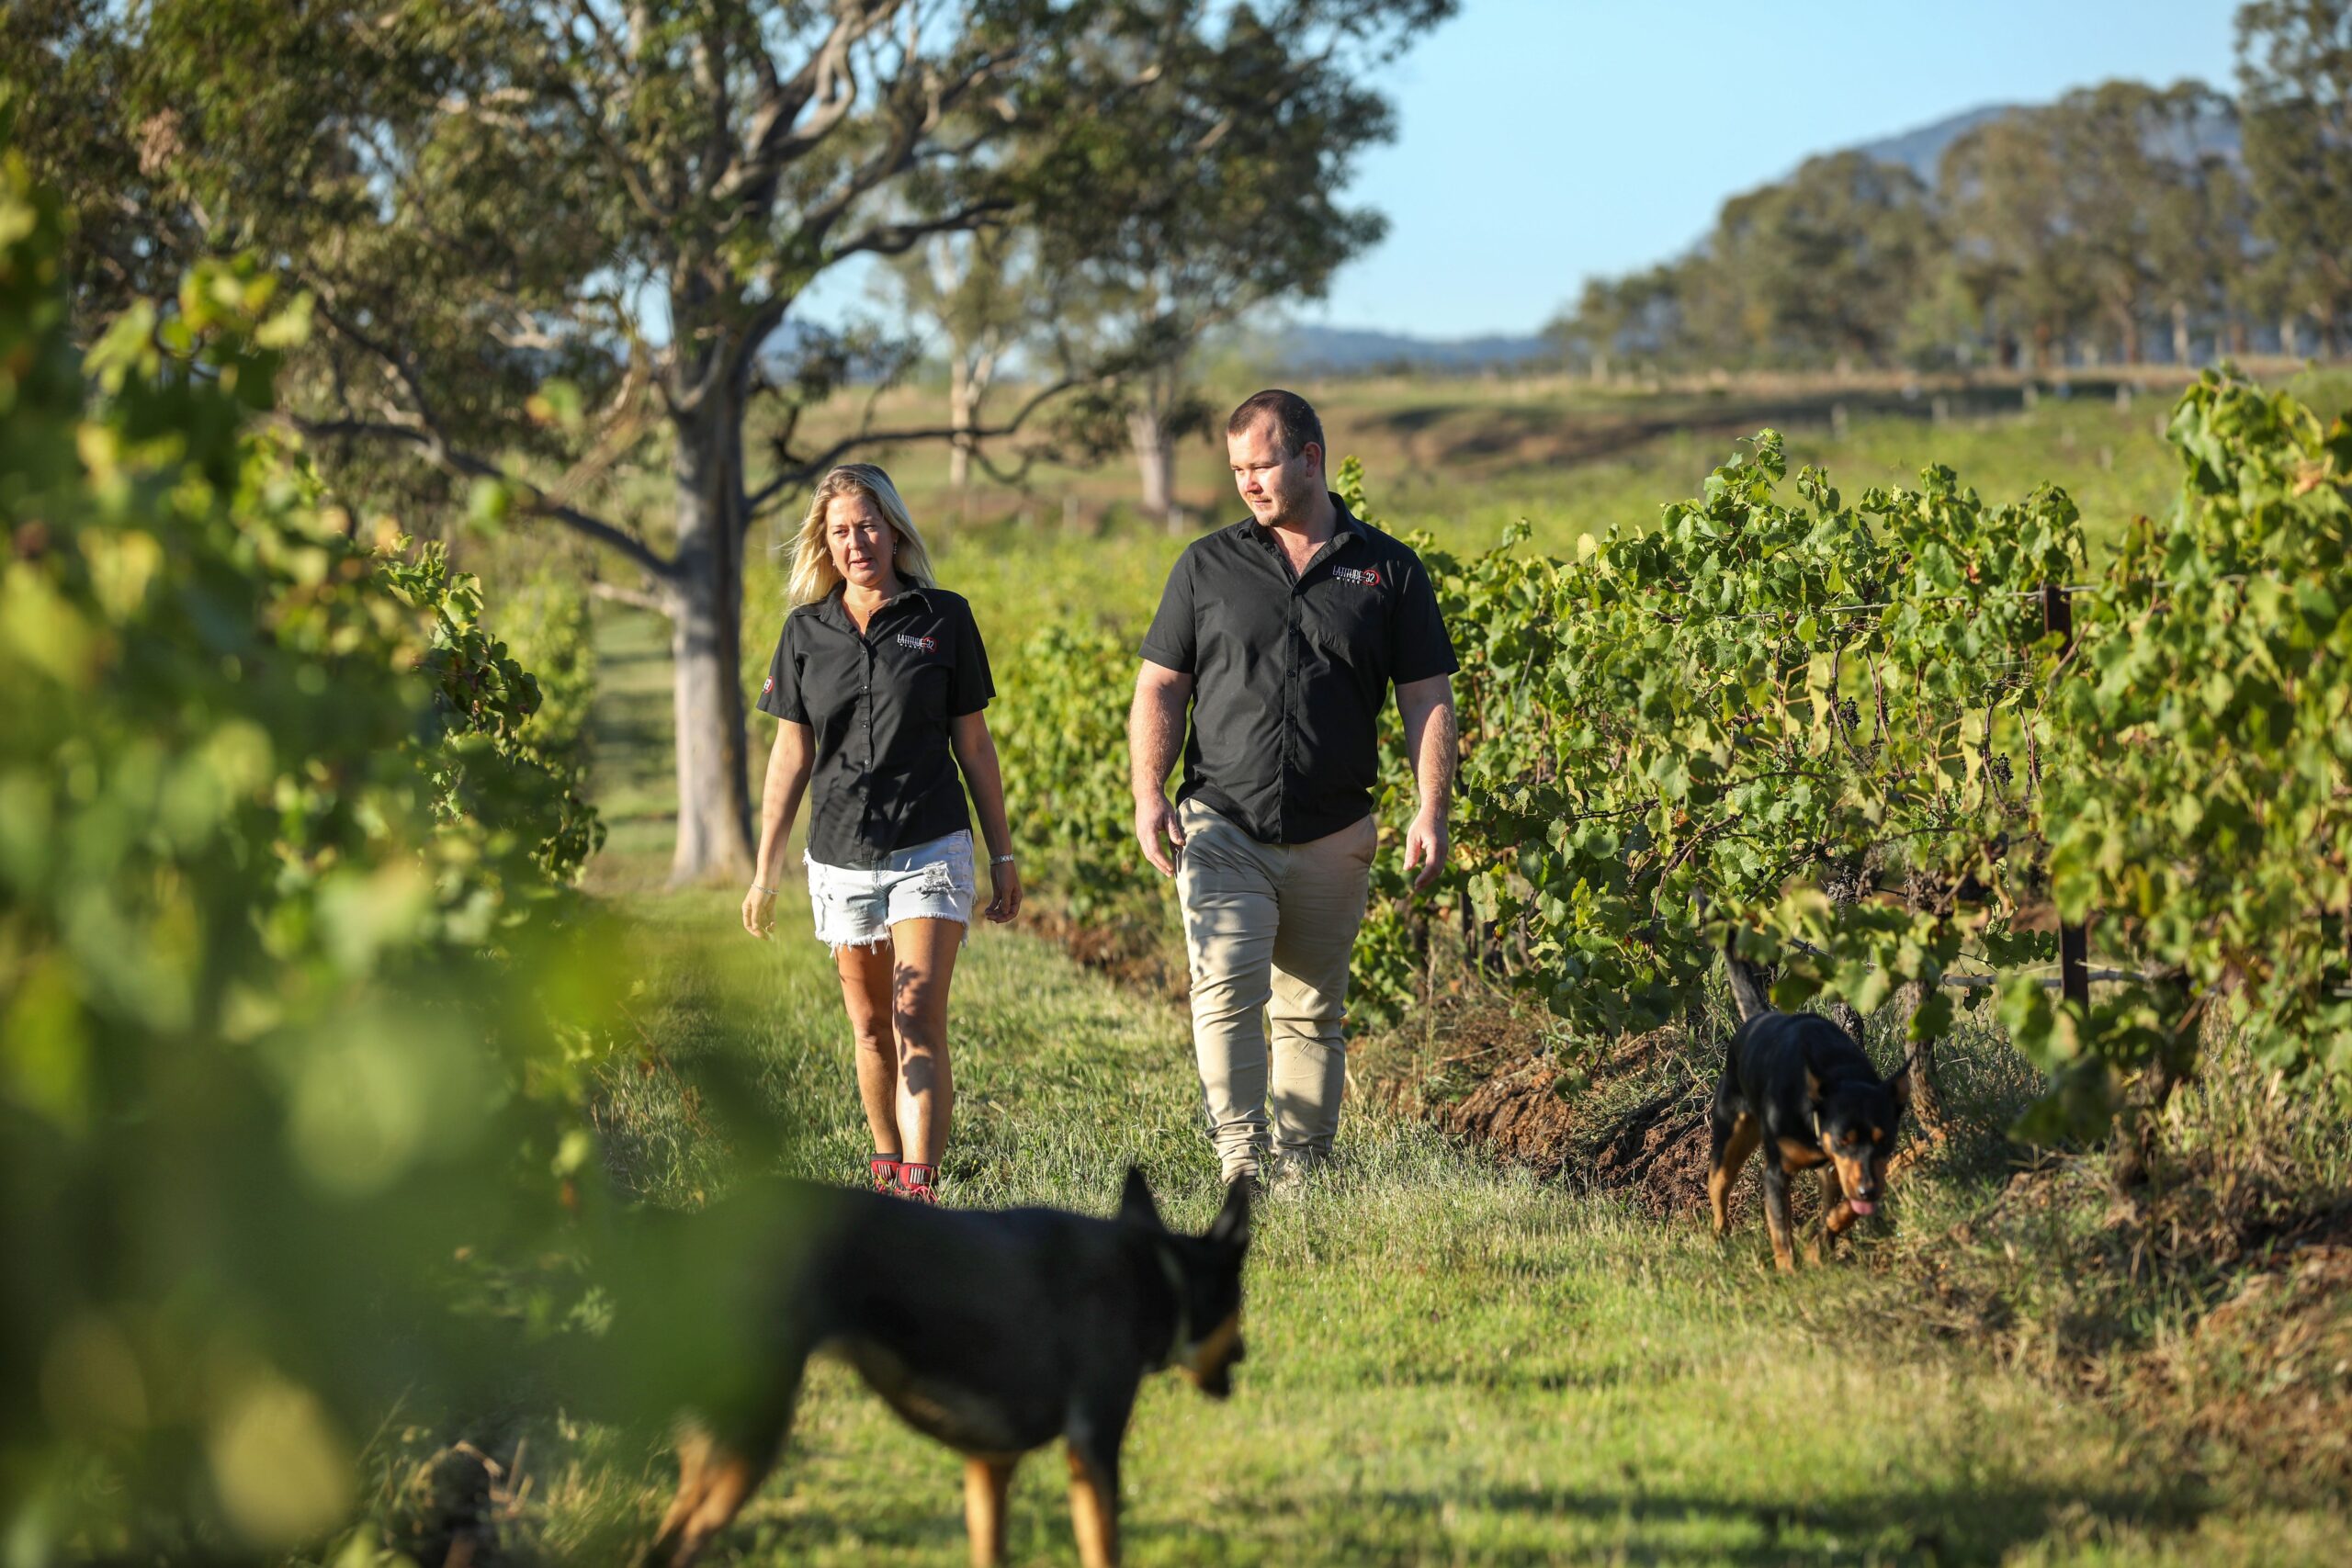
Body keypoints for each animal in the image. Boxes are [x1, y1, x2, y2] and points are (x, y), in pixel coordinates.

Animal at [644, 1170, 1250, 1561]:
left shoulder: (989, 1463)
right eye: (1239, 1303)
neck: (1157, 1270)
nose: (1245, 1353)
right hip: (748, 1443)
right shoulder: (1093, 1446)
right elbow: (1105, 1546)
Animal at [1712, 940, 1909, 1269]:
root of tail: (1759, 1018)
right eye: (1843, 1140)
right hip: (1730, 1134)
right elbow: (1781, 1232)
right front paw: (1790, 1272)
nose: (1869, 1192)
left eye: (1885, 1141)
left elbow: (1841, 1212)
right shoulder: (1776, 1172)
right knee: (1718, 1185)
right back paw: (1720, 1238)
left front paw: (1818, 1250)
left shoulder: (1841, 1171)